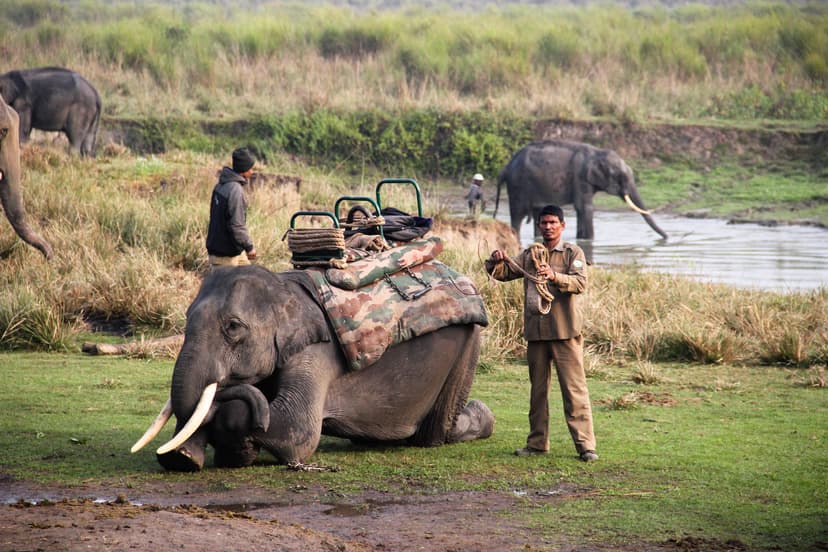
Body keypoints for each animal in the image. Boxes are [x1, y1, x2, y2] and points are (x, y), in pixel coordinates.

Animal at [131, 265, 494, 471]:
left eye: (233, 327)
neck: (283, 290)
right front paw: (184, 458)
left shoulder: (319, 351)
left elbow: (299, 428)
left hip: (468, 345)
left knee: (436, 432)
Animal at [494, 140, 668, 241]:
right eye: (621, 177)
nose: (667, 237)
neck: (597, 153)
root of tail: (506, 167)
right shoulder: (580, 178)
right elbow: (586, 208)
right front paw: (589, 240)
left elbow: (580, 209)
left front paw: (580, 239)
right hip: (518, 187)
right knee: (518, 215)